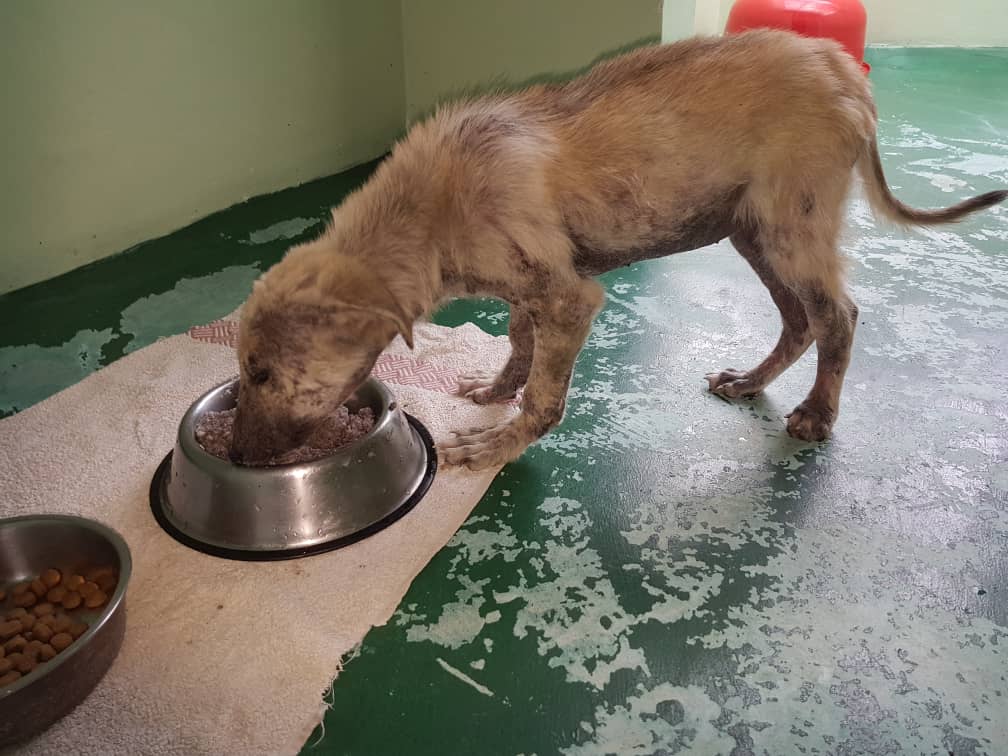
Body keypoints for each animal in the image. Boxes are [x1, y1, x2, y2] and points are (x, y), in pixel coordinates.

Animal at [229, 29, 1006, 470]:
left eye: (262, 373)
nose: (234, 454)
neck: (428, 212)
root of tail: (846, 72)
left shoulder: (570, 295)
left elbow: (546, 395)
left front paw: (497, 445)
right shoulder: (533, 287)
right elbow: (520, 342)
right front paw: (497, 389)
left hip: (793, 229)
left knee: (838, 317)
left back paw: (818, 414)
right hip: (751, 231)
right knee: (800, 321)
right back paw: (751, 382)